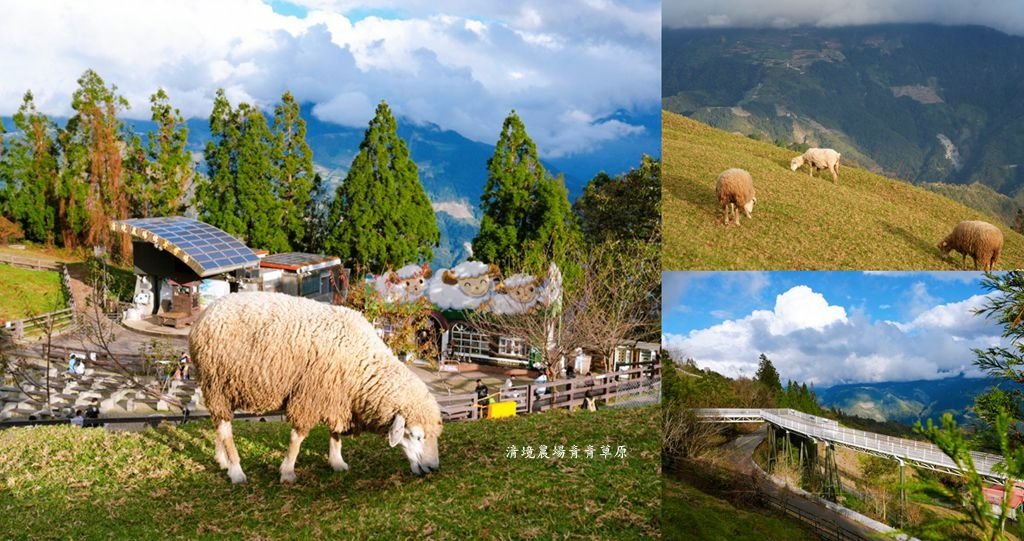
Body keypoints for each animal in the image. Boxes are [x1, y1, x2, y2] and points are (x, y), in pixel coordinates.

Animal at [190, 293, 442, 483]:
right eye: (416, 436)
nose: (433, 468)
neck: (362, 363)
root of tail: (206, 312)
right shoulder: (311, 395)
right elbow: (297, 438)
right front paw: (288, 471)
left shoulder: (338, 396)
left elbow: (336, 433)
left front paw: (337, 461)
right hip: (216, 383)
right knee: (225, 429)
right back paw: (235, 470)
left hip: (224, 387)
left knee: (221, 424)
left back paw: (222, 460)